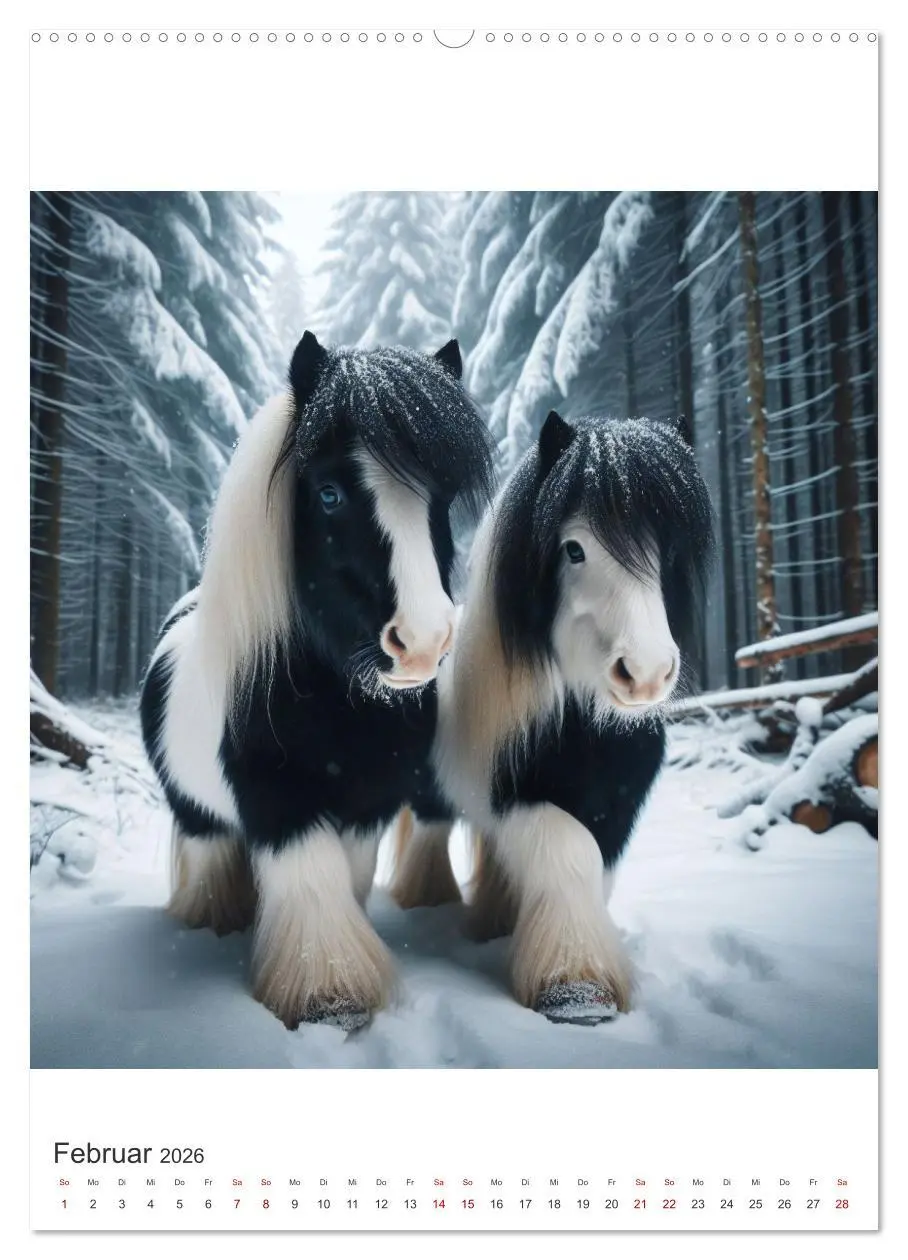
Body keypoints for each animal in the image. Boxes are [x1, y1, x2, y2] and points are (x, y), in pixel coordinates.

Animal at [140, 331, 494, 1030]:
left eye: (439, 501)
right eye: (329, 493)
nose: (422, 642)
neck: (339, 708)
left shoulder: (367, 805)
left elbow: (345, 882)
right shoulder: (281, 806)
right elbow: (311, 886)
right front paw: (327, 996)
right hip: (196, 812)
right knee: (210, 853)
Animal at [390, 408, 715, 1025]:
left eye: (671, 549)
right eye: (574, 550)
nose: (645, 673)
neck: (584, 727)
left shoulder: (615, 807)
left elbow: (592, 872)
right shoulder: (516, 797)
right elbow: (569, 856)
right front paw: (576, 988)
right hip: (431, 795)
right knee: (430, 833)